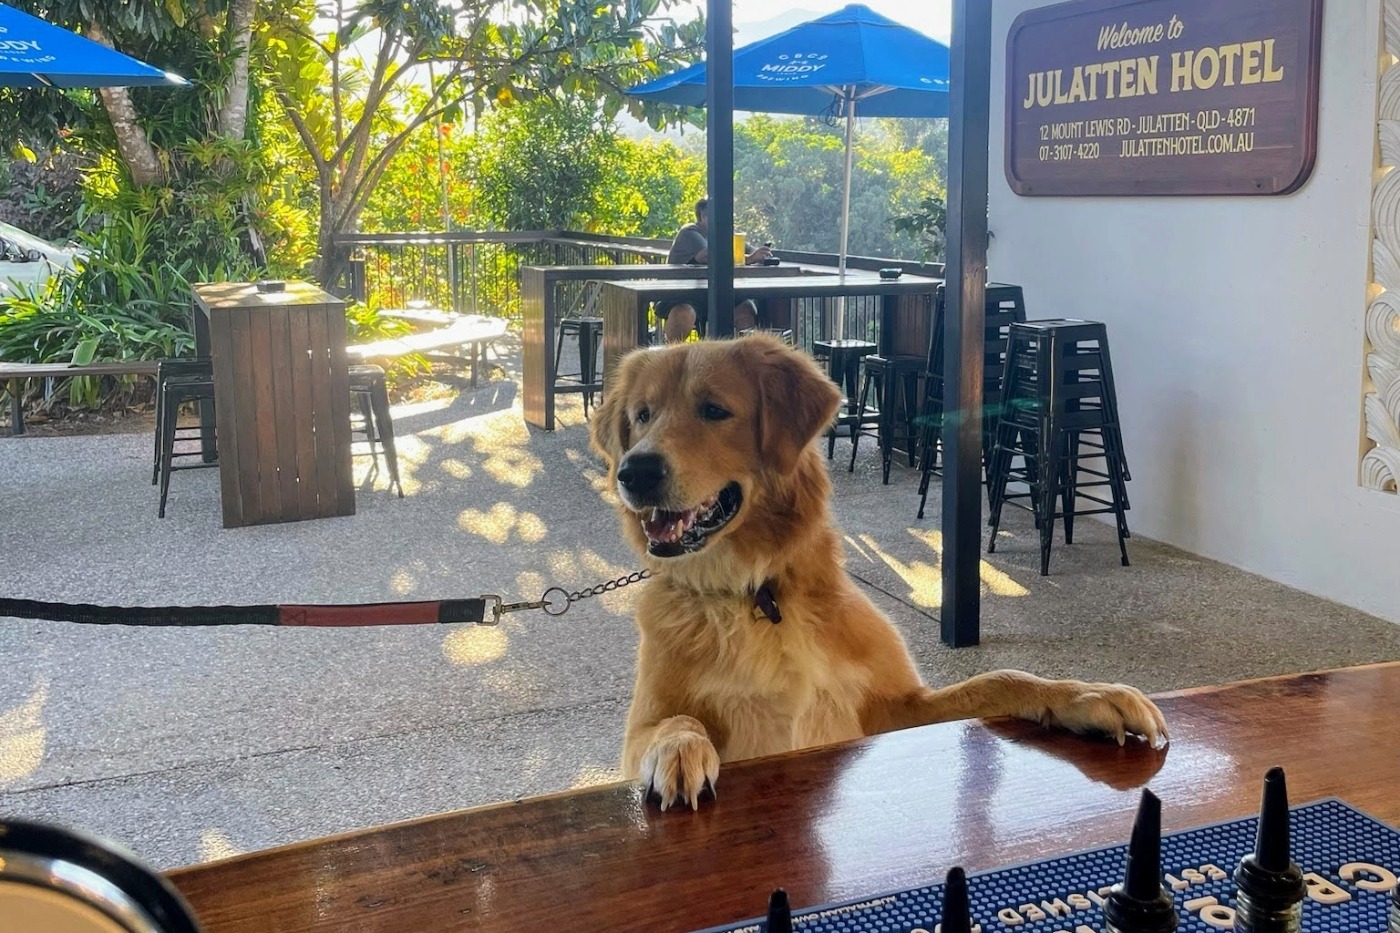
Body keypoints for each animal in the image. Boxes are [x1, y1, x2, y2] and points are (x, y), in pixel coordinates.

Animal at [590, 332, 1170, 806]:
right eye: (643, 415)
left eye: (713, 409)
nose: (634, 472)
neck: (755, 594)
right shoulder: (641, 731)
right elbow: (673, 721)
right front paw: (679, 747)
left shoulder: (899, 709)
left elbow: (999, 678)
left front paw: (1084, 696)